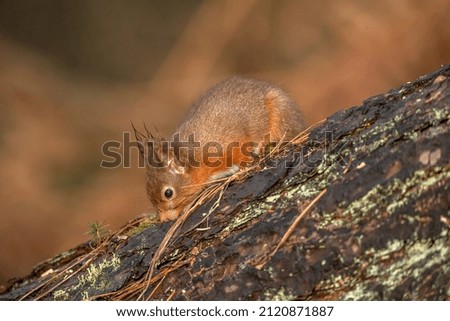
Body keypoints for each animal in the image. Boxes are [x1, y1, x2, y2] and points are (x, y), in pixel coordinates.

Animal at [136, 76, 306, 221]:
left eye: (168, 193)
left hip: (279, 116)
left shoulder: (231, 144)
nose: (165, 219)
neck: (196, 155)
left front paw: (245, 164)